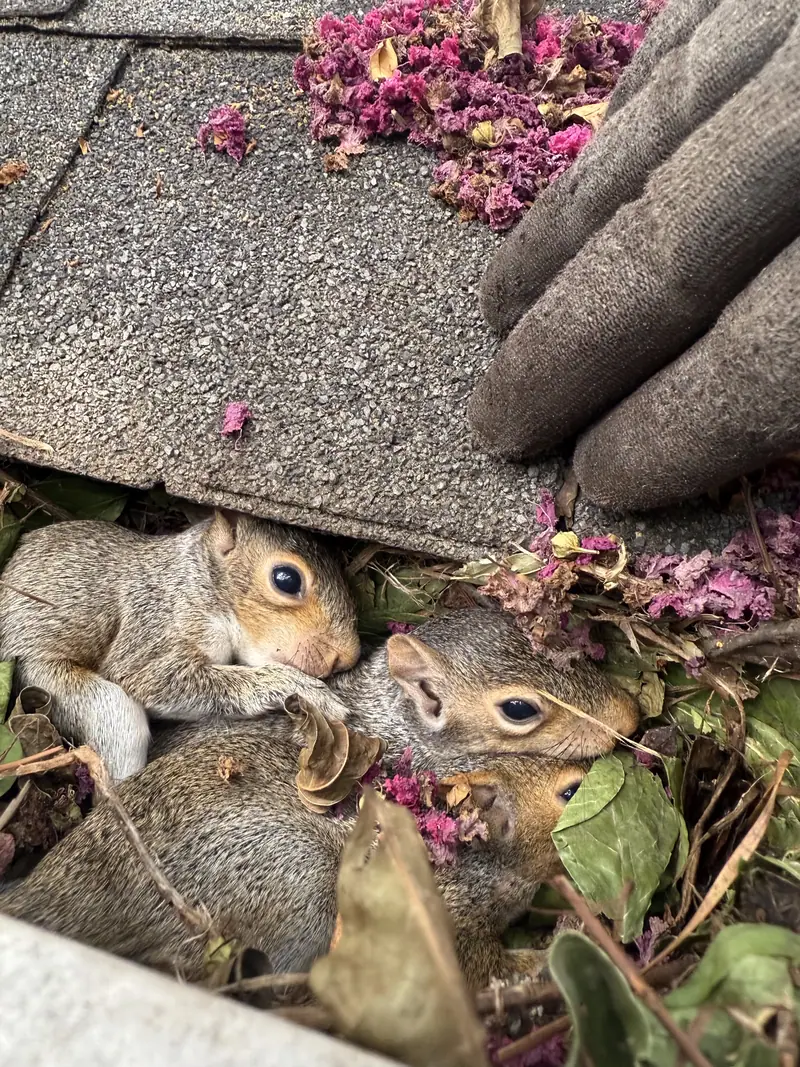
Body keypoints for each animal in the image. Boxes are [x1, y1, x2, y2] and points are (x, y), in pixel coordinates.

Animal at [0, 512, 361, 782]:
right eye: (286, 579)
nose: (348, 656)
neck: (200, 580)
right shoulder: (152, 626)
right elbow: (154, 678)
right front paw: (302, 689)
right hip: (57, 686)